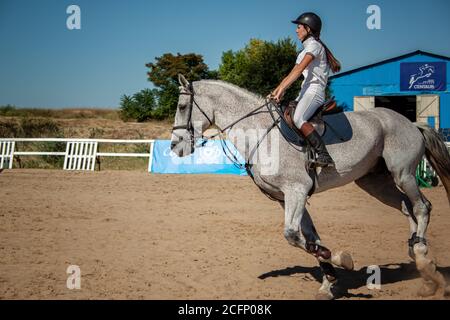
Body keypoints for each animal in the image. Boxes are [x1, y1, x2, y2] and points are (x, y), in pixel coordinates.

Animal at [170, 75, 450, 300]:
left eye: (182, 107)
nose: (174, 147)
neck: (261, 134)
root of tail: (412, 123)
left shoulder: (297, 191)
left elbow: (292, 236)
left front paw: (342, 260)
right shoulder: (287, 198)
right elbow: (310, 237)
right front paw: (329, 283)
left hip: (403, 174)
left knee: (422, 207)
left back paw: (422, 256)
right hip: (374, 183)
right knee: (407, 208)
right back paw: (419, 259)